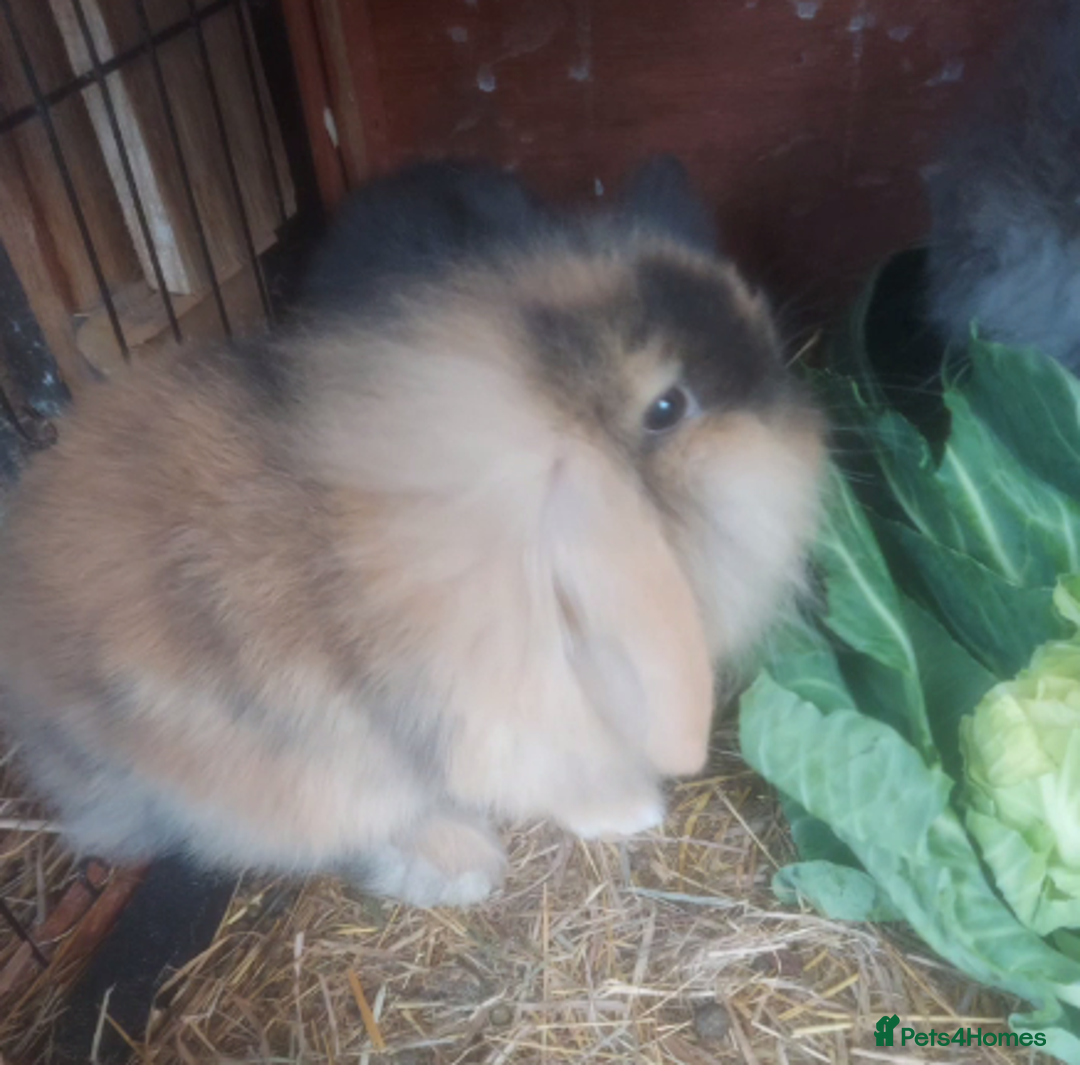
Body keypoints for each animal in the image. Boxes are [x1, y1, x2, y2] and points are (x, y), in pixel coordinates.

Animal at [0, 156, 825, 907]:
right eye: (666, 407)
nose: (800, 426)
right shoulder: (516, 715)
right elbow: (562, 773)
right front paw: (631, 812)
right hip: (307, 770)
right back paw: (462, 861)